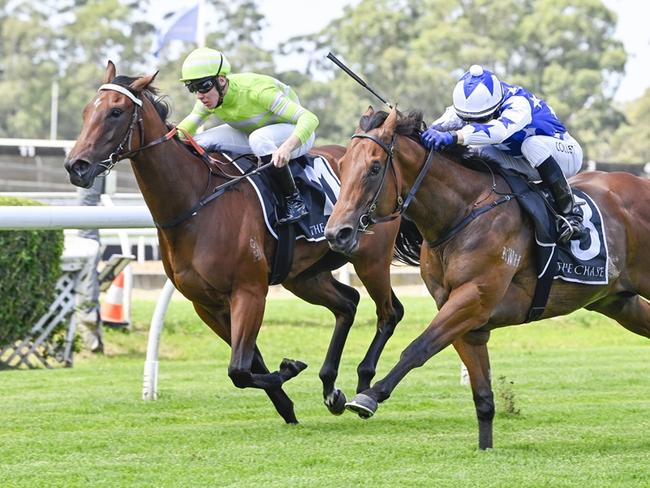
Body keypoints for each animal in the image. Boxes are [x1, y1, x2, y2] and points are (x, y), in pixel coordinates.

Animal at [62, 63, 416, 424]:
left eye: (115, 112)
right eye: (87, 111)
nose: (76, 166)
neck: (197, 202)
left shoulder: (249, 291)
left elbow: (239, 369)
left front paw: (290, 369)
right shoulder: (206, 304)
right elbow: (247, 364)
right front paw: (287, 403)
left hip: (369, 260)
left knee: (389, 312)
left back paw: (364, 383)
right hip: (303, 276)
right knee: (347, 303)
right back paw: (330, 387)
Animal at [324, 107, 648, 450]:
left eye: (374, 167)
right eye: (342, 166)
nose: (337, 233)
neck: (462, 212)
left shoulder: (473, 299)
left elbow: (417, 348)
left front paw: (368, 396)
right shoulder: (466, 318)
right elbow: (482, 394)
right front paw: (485, 446)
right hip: (618, 301)